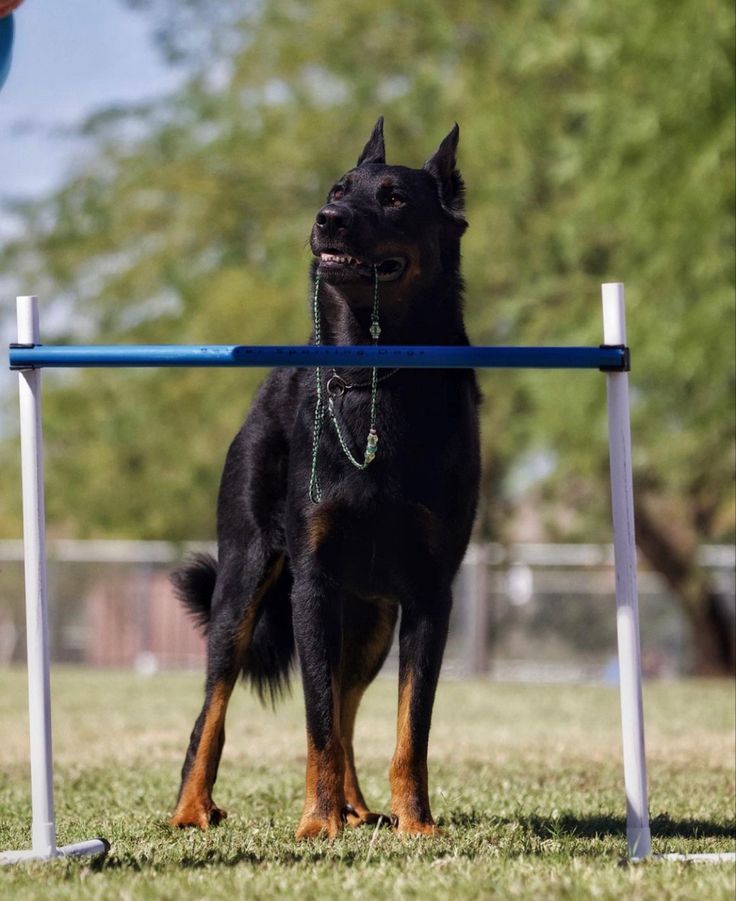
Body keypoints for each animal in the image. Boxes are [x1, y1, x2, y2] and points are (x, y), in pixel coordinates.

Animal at [169, 118, 480, 836]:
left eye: (394, 198)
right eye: (339, 189)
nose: (326, 219)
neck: (375, 376)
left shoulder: (431, 595)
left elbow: (408, 729)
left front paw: (415, 823)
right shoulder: (312, 581)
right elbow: (314, 722)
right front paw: (317, 822)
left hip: (369, 622)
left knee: (346, 706)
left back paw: (360, 807)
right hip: (243, 586)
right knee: (215, 708)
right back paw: (193, 807)